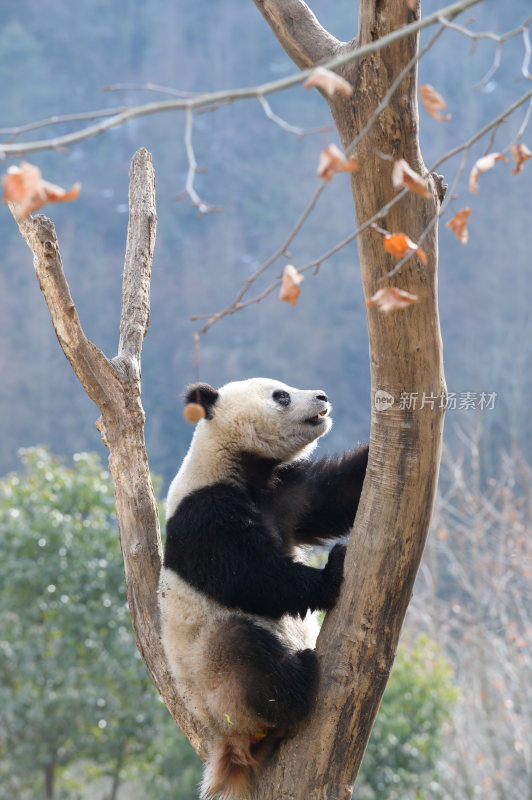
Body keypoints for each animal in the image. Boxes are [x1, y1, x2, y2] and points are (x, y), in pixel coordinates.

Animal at [156, 378, 368, 796]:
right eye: (281, 395)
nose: (322, 397)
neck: (234, 463)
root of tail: (229, 743)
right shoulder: (204, 514)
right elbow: (250, 574)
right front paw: (330, 573)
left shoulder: (286, 492)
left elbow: (337, 494)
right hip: (216, 683)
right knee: (244, 649)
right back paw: (299, 680)